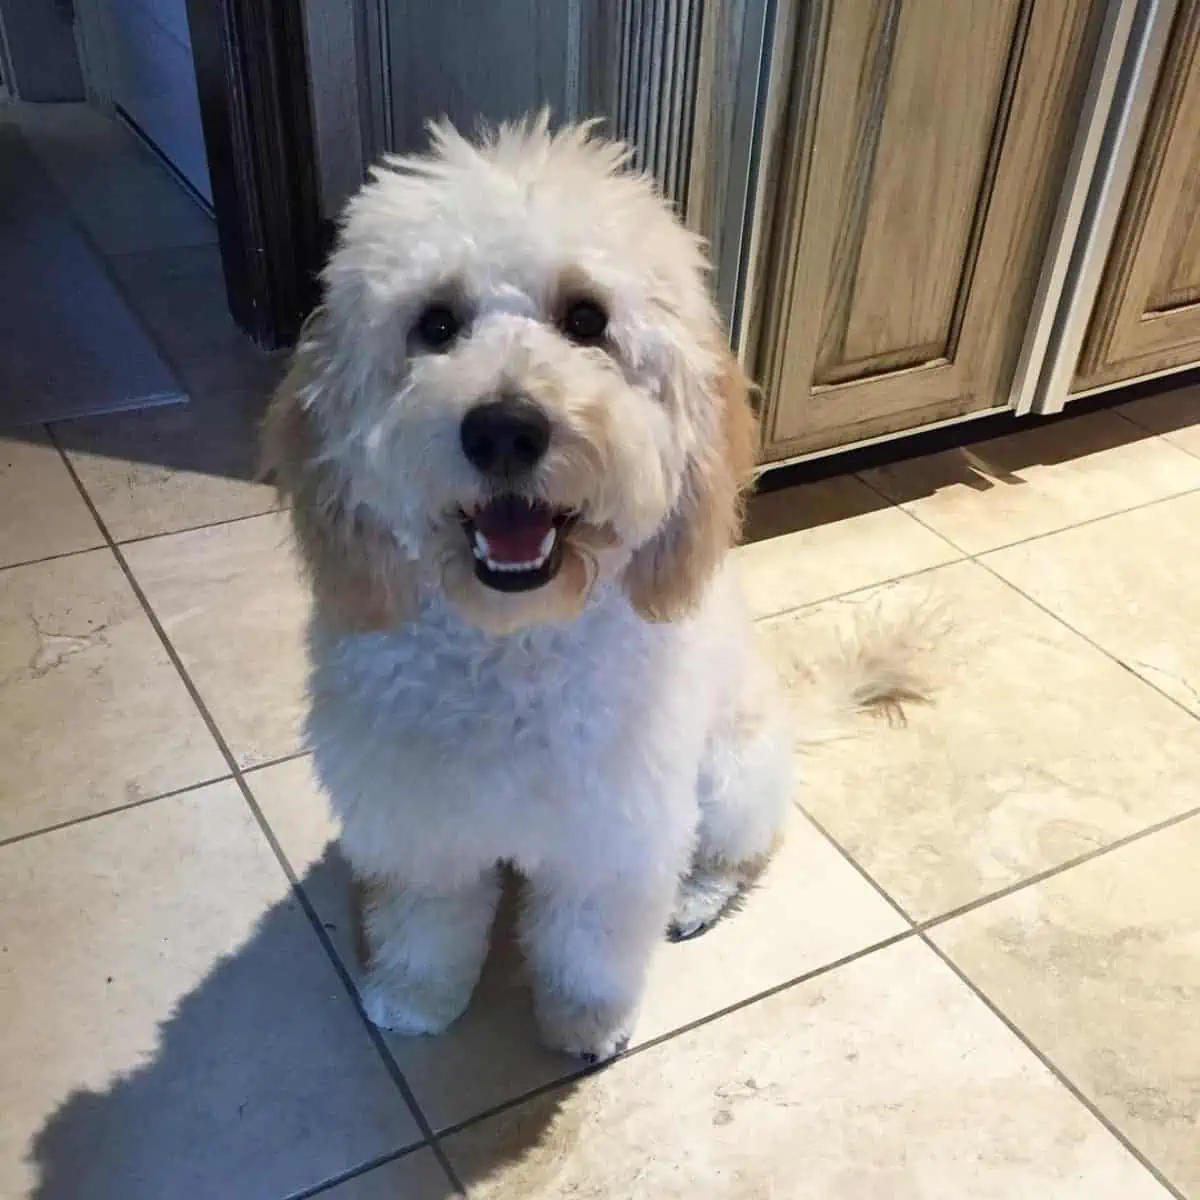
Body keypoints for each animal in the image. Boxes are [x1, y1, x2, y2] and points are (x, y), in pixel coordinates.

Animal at [260, 117, 916, 1065]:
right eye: (435, 323)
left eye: (586, 319)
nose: (505, 427)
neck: (508, 642)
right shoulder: (420, 818)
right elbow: (427, 921)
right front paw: (417, 999)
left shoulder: (616, 829)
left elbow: (587, 939)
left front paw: (586, 1022)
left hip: (729, 775)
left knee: (735, 851)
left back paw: (695, 897)